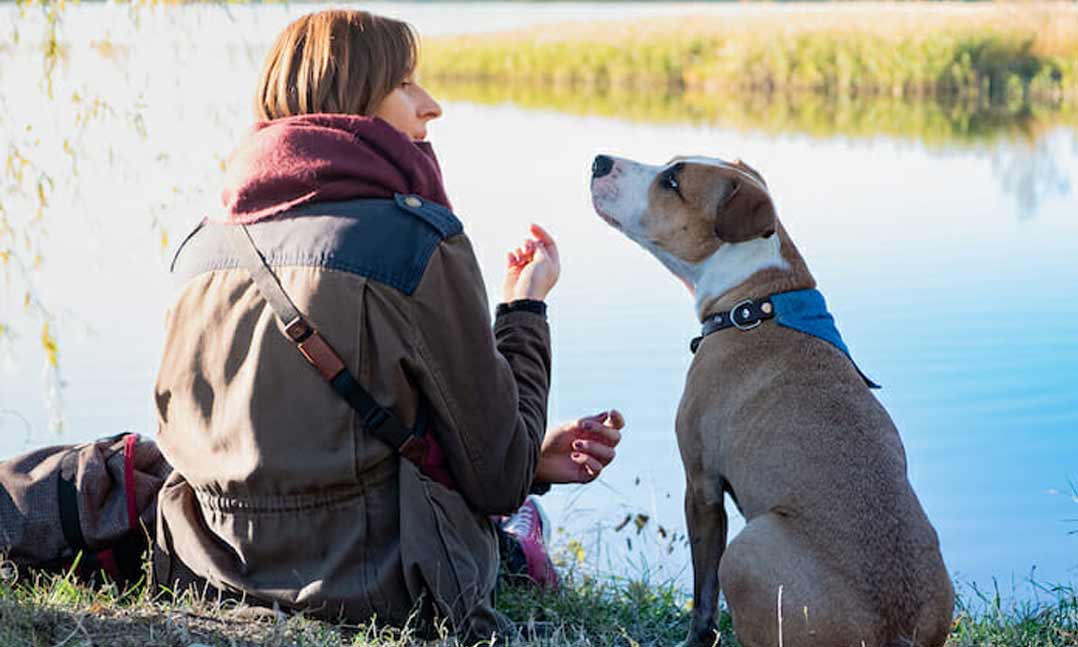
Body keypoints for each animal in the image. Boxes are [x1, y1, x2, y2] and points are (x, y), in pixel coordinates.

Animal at [590, 155, 952, 647]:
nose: (599, 161)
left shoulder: (701, 485)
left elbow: (703, 592)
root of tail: (892, 634)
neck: (756, 302)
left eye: (673, 181)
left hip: (750, 547)